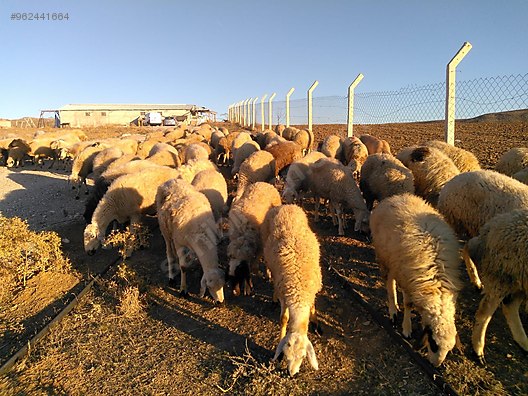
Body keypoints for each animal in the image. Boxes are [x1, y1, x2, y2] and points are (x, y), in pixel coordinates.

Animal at [260, 206, 322, 376]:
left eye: (303, 356)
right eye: (286, 356)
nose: (291, 374)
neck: (299, 295)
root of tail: (284, 206)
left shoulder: (312, 289)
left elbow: (313, 307)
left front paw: (316, 323)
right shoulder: (285, 296)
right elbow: (283, 319)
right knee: (272, 274)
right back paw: (273, 296)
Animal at [370, 193, 464, 366]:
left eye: (449, 349)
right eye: (433, 343)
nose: (435, 366)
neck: (437, 284)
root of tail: (393, 197)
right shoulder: (408, 280)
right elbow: (408, 304)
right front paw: (406, 329)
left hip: (395, 263)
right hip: (385, 257)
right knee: (389, 283)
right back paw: (393, 310)